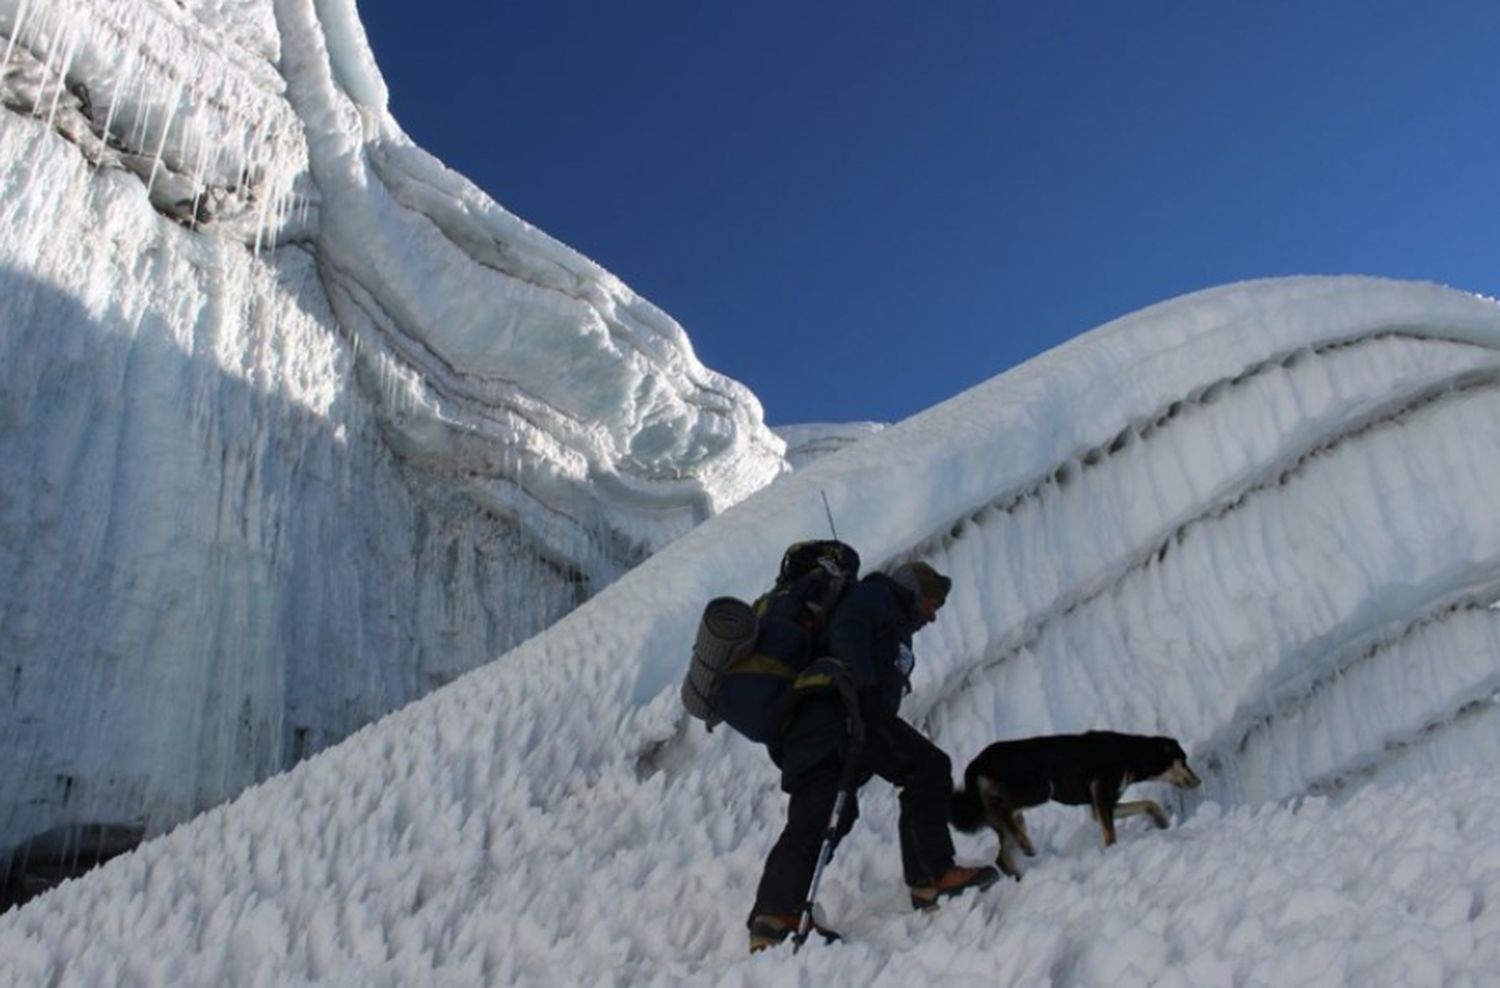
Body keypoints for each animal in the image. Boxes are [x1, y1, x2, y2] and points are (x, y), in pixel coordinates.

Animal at [954, 731, 1200, 875]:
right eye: (1184, 761)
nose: (1199, 781)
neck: (1128, 753)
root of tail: (975, 764)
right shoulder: (1102, 795)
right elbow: (1111, 835)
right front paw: (1113, 853)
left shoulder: (1100, 805)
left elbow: (1148, 803)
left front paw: (1162, 822)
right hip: (1040, 788)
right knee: (1006, 810)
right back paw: (1027, 846)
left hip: (1008, 815)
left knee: (1001, 854)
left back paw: (1020, 874)